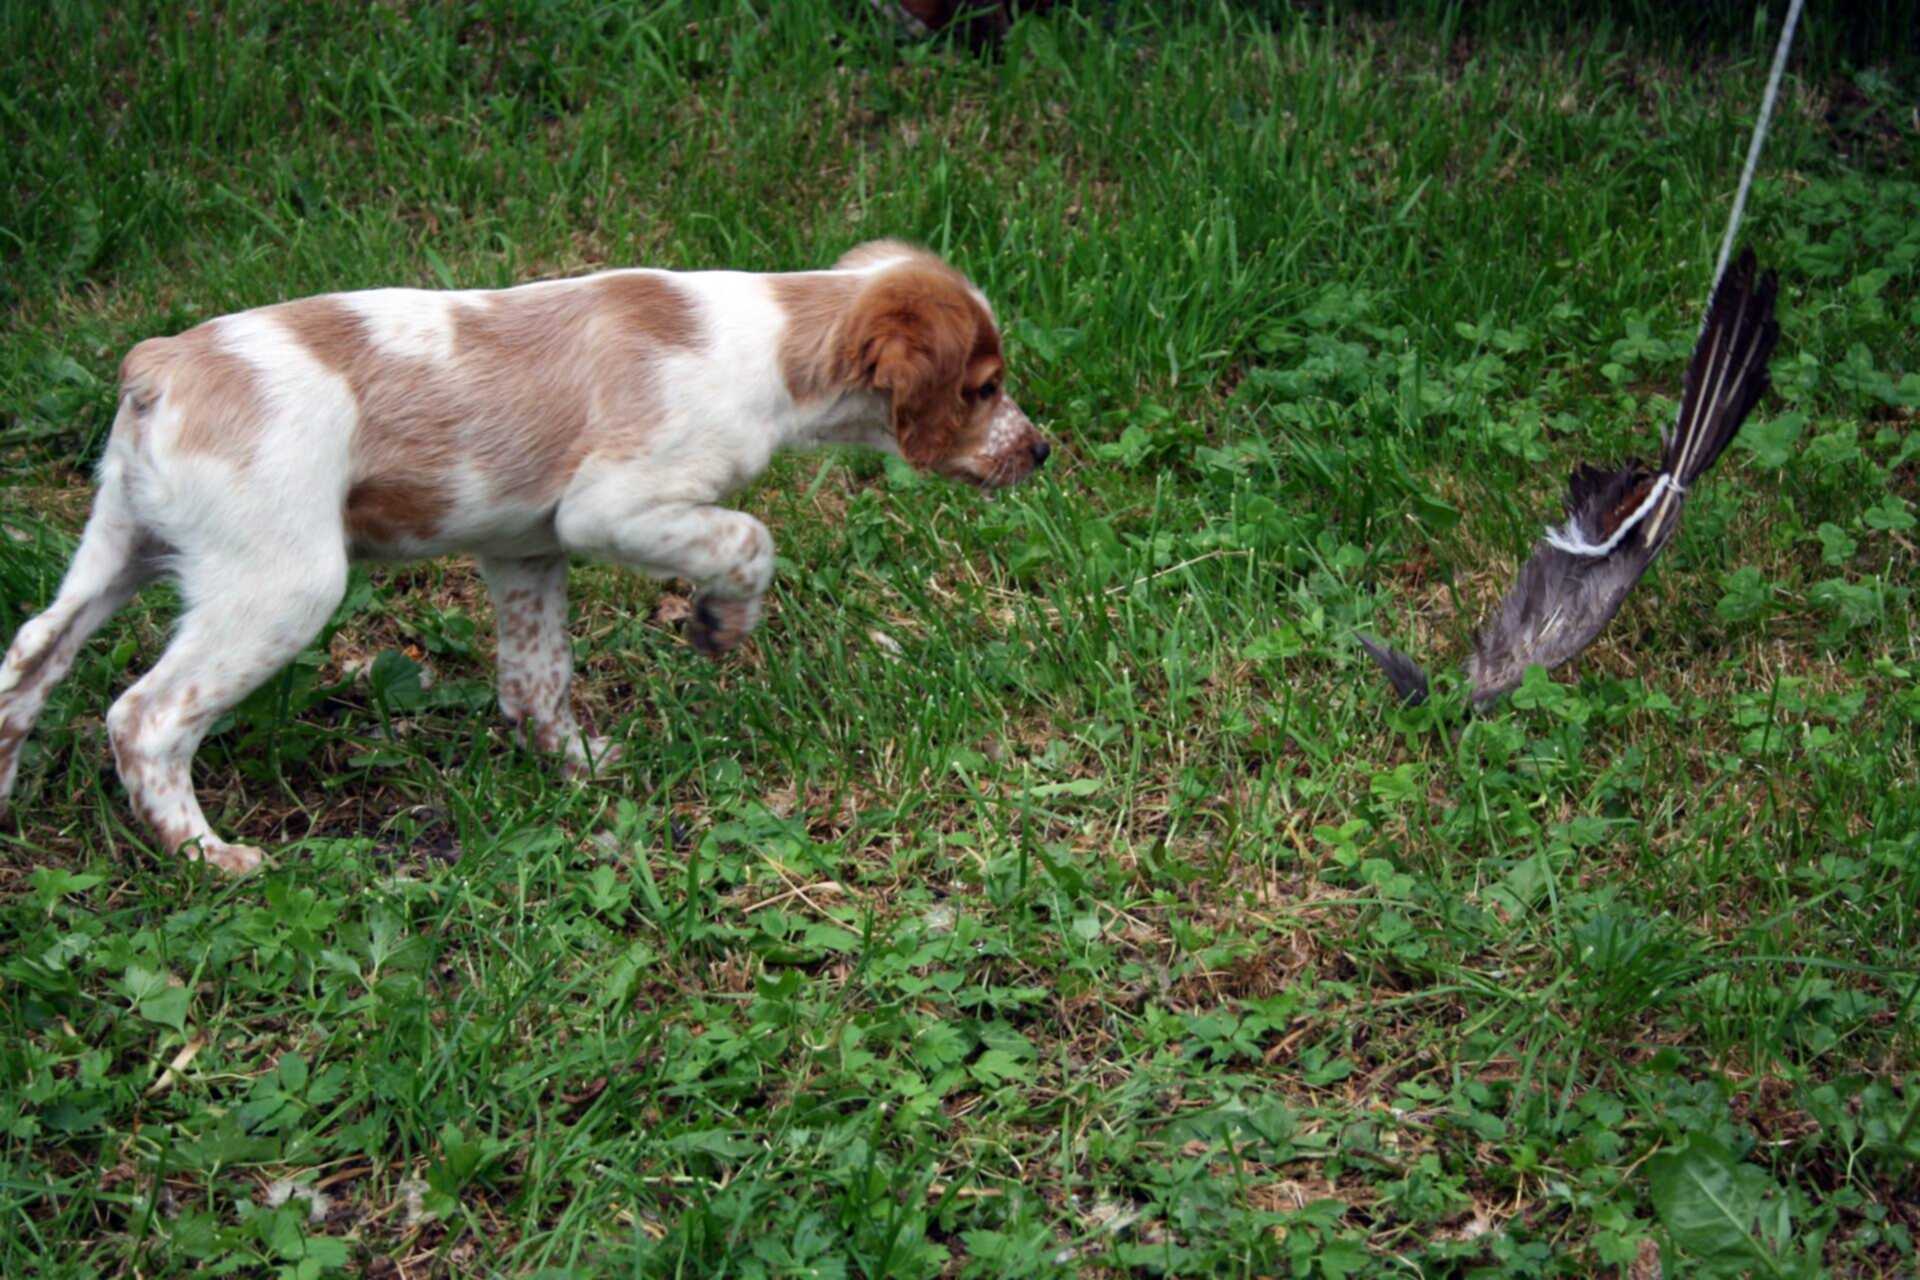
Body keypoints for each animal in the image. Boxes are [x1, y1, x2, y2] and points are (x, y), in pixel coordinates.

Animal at [0, 239, 1052, 875]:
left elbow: (537, 677)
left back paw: (6, 800)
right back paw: (207, 855)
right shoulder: (610, 507)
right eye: (983, 387)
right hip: (281, 583)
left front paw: (578, 765)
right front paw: (722, 621)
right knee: (143, 717)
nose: (1041, 452)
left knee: (29, 657)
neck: (777, 334)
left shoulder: (526, 553)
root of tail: (158, 366)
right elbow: (752, 539)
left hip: (121, 543)